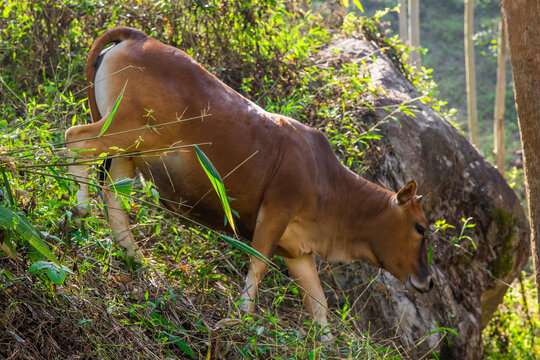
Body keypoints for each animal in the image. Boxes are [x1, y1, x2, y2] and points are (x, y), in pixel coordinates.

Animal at [65, 26, 432, 330]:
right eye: (420, 228)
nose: (427, 283)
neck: (330, 186)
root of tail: (140, 37)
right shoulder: (275, 212)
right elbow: (258, 265)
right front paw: (242, 317)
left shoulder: (298, 251)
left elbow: (319, 305)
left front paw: (324, 343)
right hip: (129, 129)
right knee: (76, 139)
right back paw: (79, 209)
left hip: (129, 150)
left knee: (114, 194)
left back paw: (134, 257)